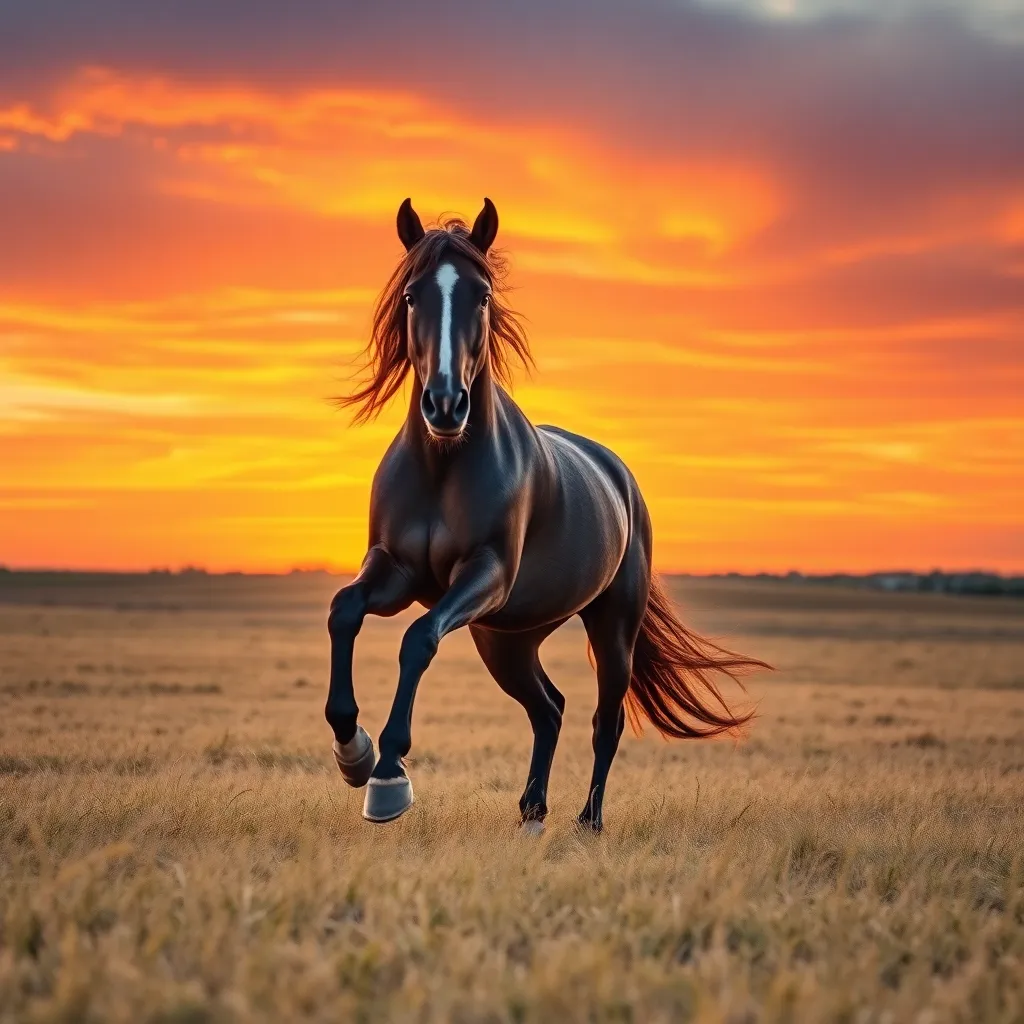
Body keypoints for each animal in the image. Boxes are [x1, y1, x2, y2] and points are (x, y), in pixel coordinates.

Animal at [325, 198, 768, 829]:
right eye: (412, 295)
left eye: (482, 295)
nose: (445, 405)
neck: (442, 465)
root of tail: (619, 477)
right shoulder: (397, 572)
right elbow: (345, 611)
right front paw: (353, 752)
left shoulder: (484, 574)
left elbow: (418, 639)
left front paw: (387, 775)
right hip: (507, 638)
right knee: (549, 707)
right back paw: (532, 810)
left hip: (611, 626)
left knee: (604, 721)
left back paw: (588, 821)